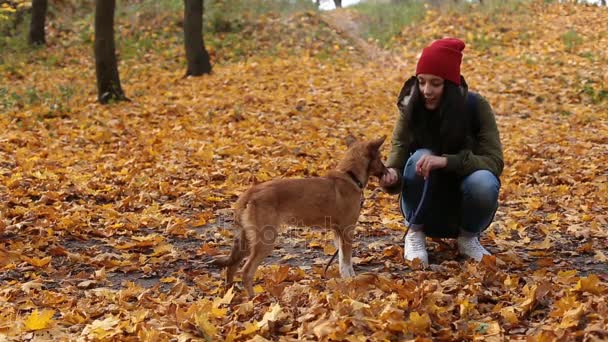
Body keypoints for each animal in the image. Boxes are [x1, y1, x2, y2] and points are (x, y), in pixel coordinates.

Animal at [211, 136, 388, 296]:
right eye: (380, 158)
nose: (387, 172)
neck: (350, 176)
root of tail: (250, 192)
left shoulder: (337, 232)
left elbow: (342, 260)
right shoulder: (347, 230)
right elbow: (346, 260)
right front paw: (350, 281)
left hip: (247, 240)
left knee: (231, 267)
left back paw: (229, 294)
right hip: (264, 240)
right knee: (246, 271)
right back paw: (253, 299)